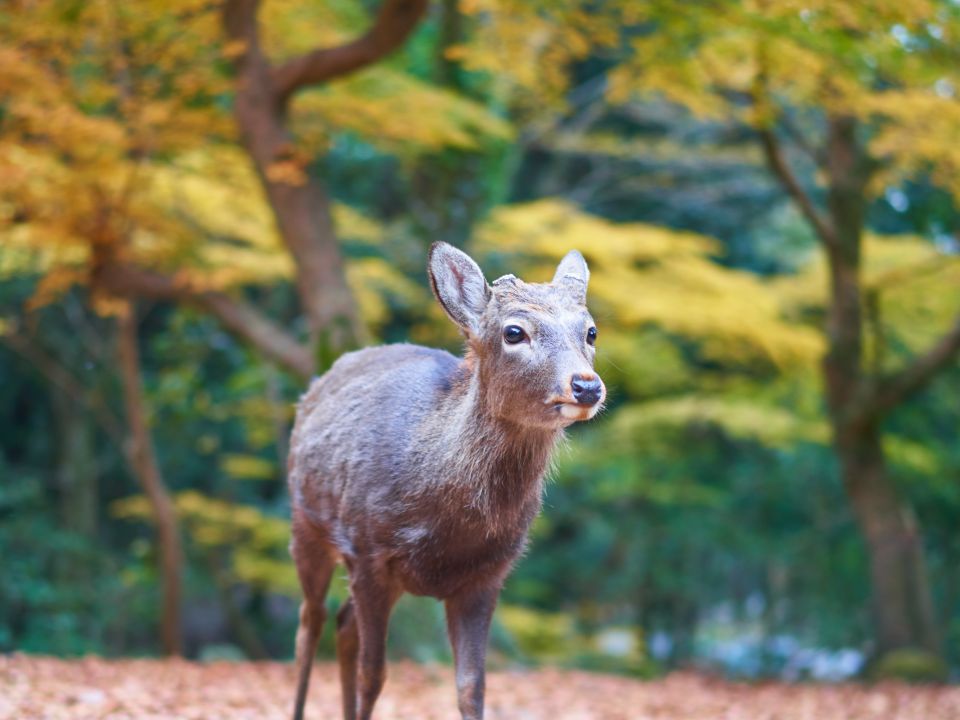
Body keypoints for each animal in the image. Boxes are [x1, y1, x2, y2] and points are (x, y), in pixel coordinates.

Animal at [284, 243, 608, 720]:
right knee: (310, 624)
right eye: (514, 332)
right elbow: (373, 674)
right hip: (305, 521)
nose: (586, 386)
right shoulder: (368, 552)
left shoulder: (487, 576)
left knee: (342, 626)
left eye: (590, 332)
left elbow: (472, 687)